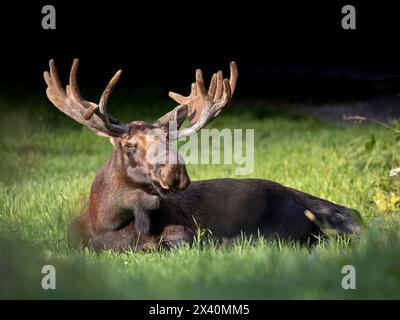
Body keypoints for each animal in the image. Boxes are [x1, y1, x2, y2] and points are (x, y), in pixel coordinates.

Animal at [43, 58, 362, 251]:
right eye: (130, 144)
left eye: (170, 140)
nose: (175, 172)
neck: (105, 223)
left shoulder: (184, 231)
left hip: (282, 225)